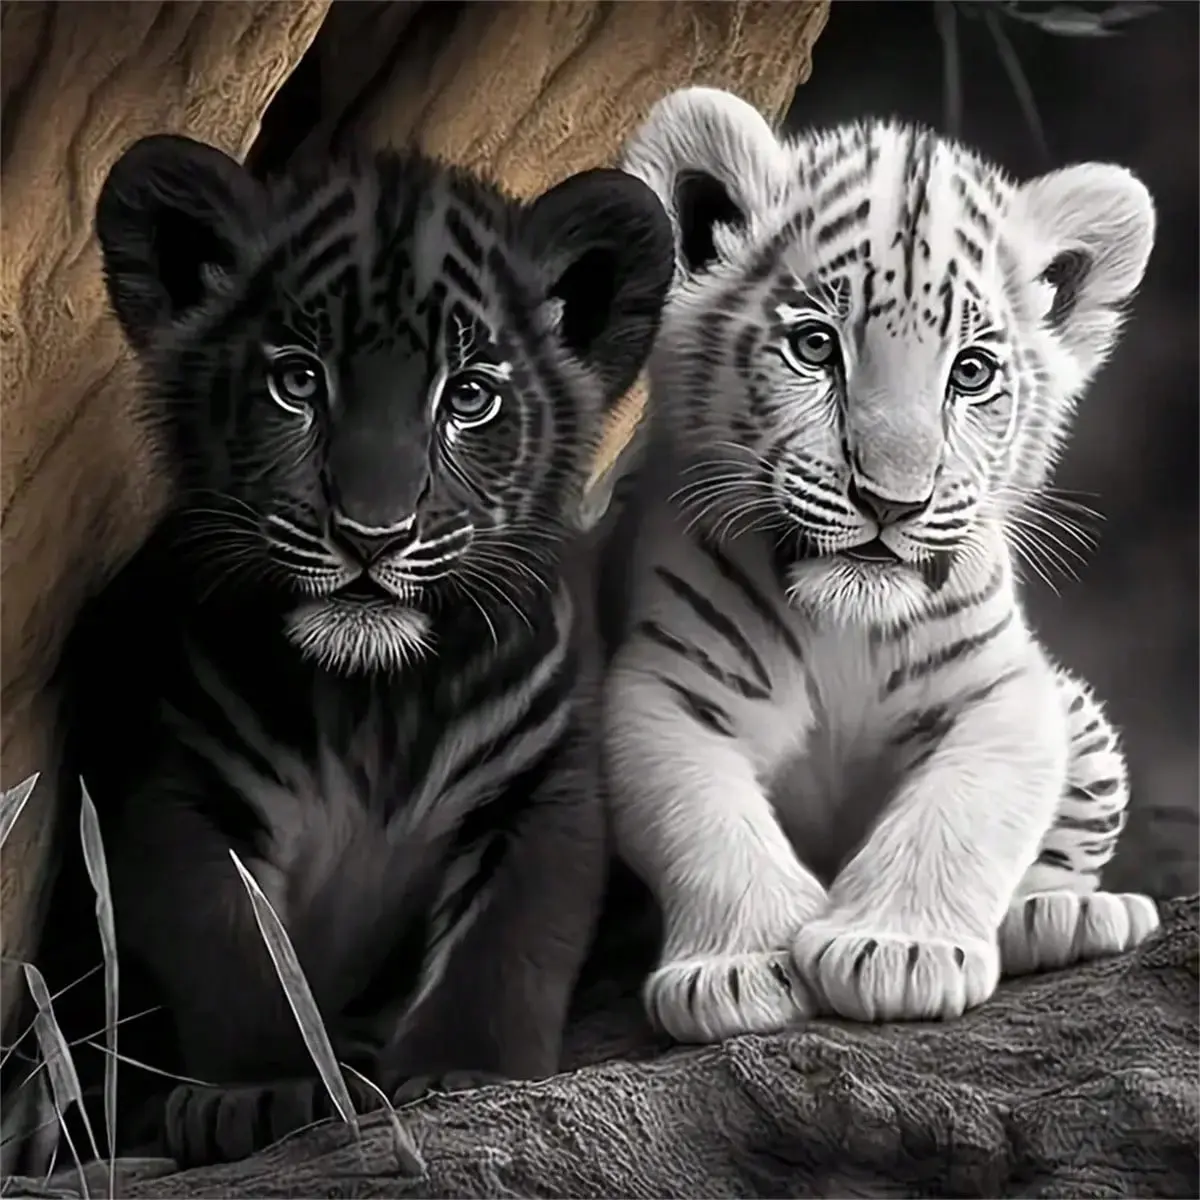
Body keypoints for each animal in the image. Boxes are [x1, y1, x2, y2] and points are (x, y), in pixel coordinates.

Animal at [41, 133, 674, 1163]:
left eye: (469, 396)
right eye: (298, 380)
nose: (372, 535)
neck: (378, 702)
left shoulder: (542, 781)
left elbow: (510, 940)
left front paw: (464, 1074)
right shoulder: (177, 782)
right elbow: (233, 951)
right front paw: (258, 1090)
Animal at [601, 86, 1161, 1044]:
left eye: (971, 373)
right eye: (816, 347)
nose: (891, 502)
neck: (843, 625)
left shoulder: (1003, 692)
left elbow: (961, 810)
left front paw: (897, 951)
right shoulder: (667, 691)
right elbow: (706, 822)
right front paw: (741, 969)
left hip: (1081, 714)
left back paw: (1060, 914)